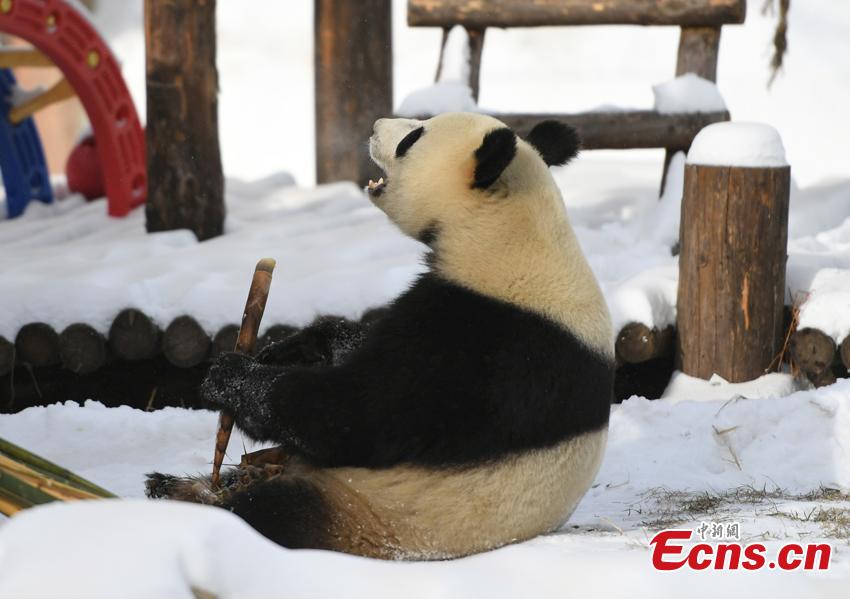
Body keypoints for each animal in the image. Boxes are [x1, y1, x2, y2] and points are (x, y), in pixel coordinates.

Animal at [146, 112, 608, 564]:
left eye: (413, 137)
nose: (374, 126)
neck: (507, 233)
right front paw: (298, 347)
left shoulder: (487, 343)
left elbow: (362, 414)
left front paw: (231, 377)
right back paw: (172, 484)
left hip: (370, 516)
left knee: (272, 514)